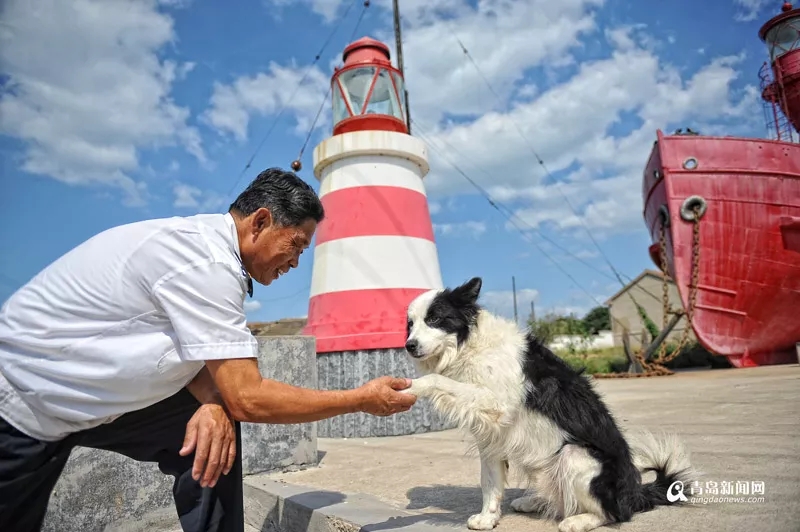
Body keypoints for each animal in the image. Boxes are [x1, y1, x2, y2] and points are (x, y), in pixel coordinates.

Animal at [404, 276, 696, 532]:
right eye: (410, 324)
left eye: (434, 319)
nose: (409, 346)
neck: (469, 346)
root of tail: (635, 495)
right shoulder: (491, 436)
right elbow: (490, 483)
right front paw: (488, 518)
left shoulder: (496, 403)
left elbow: (436, 379)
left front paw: (411, 386)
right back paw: (533, 501)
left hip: (575, 455)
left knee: (614, 514)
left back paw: (578, 521)